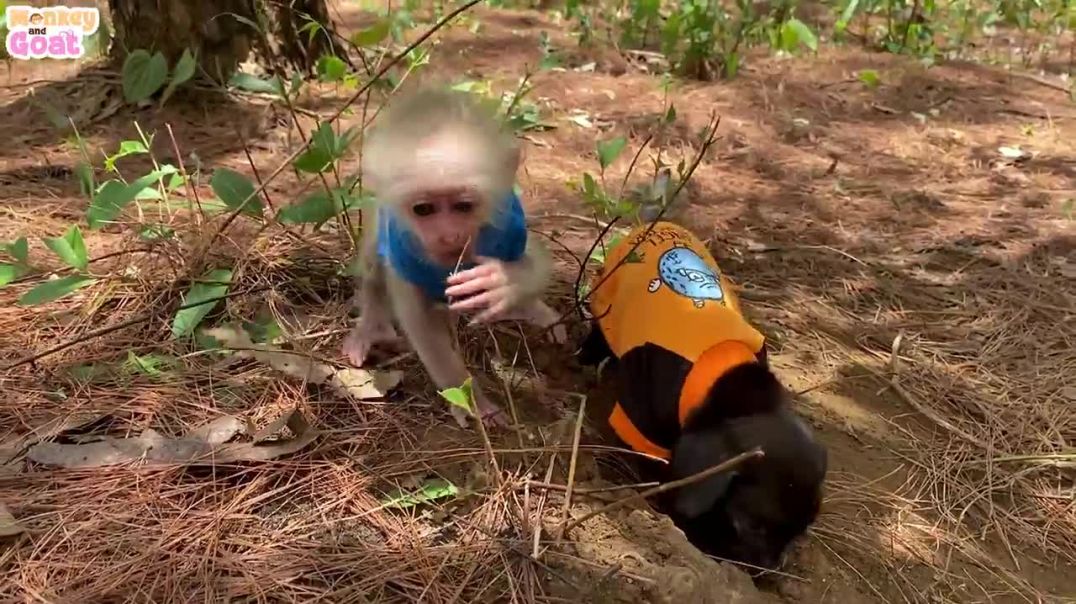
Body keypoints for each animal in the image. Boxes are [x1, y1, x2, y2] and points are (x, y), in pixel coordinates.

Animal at [343, 86, 564, 429]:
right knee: (372, 260)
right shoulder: (402, 246)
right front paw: (472, 400)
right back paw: (372, 326)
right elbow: (421, 324)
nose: (448, 236)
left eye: (463, 206)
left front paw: (504, 282)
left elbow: (537, 263)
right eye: (423, 209)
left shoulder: (506, 224)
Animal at [576, 174, 827, 573]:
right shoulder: (641, 420)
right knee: (599, 335)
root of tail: (656, 223)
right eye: (753, 526)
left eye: (799, 530)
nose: (768, 571)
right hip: (605, 305)